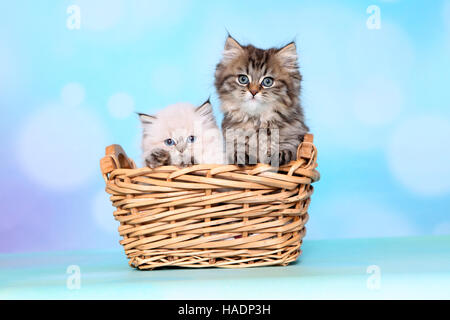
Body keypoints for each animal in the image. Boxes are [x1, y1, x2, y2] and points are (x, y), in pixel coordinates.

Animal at [215, 35, 310, 166]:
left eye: (267, 81)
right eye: (243, 79)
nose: (253, 92)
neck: (258, 121)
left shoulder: (297, 133)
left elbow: (289, 146)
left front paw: (279, 154)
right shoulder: (229, 138)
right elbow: (237, 147)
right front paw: (242, 155)